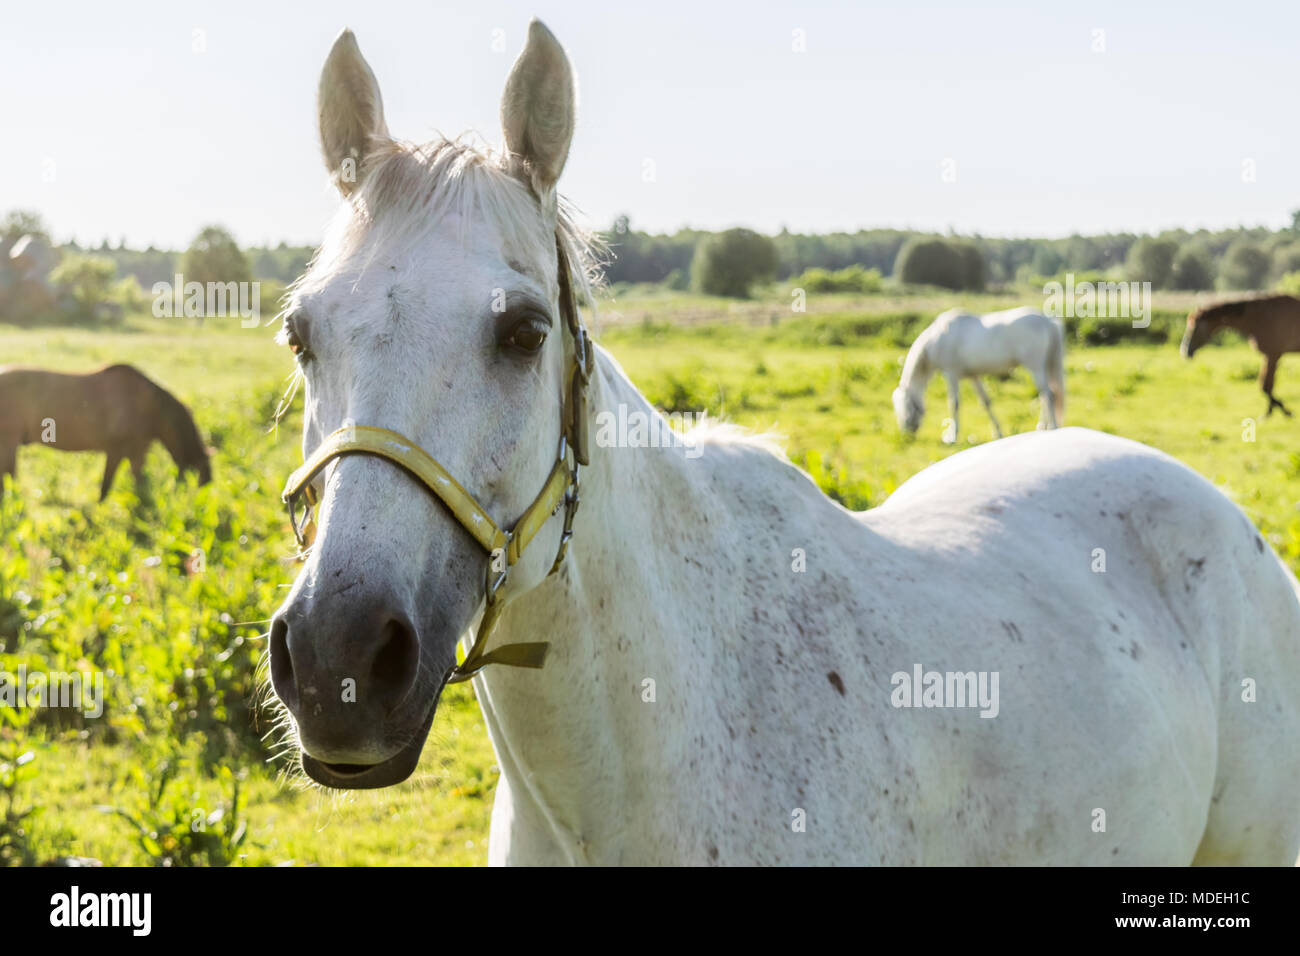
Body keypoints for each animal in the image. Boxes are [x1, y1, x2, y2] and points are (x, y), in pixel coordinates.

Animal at [0, 364, 210, 502]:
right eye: (202, 478)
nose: (196, 504)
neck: (148, 405)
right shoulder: (115, 451)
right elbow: (106, 485)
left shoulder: (138, 451)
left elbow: (140, 483)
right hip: (9, 442)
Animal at [894, 306, 1066, 442]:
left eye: (904, 407)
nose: (905, 435)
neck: (935, 339)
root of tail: (1048, 321)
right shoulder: (973, 376)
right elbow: (986, 402)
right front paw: (998, 432)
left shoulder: (951, 373)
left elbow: (954, 403)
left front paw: (952, 436)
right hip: (1045, 365)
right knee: (1045, 395)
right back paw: (1042, 426)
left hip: (1035, 365)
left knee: (1048, 394)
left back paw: (1052, 426)